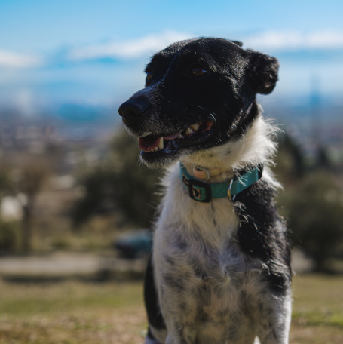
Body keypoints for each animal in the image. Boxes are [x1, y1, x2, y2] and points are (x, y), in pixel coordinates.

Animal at [119, 37, 292, 344]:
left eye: (198, 70)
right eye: (149, 74)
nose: (127, 109)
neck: (215, 187)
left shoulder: (275, 313)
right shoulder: (177, 322)